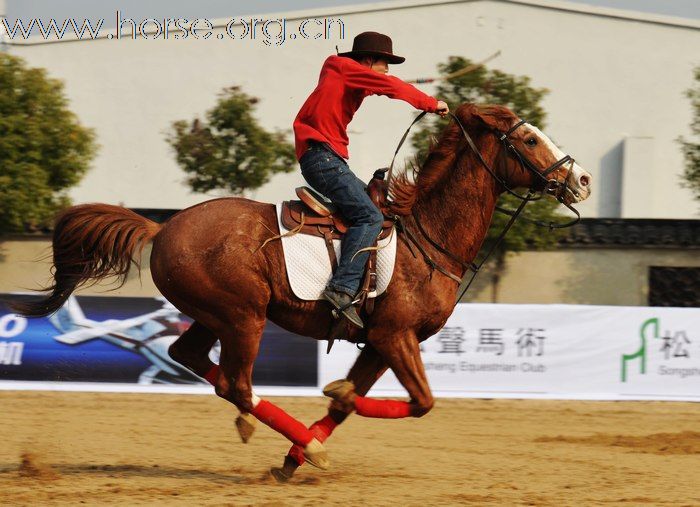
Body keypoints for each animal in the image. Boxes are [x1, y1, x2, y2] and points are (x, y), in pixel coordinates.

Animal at [10, 101, 592, 482]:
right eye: (530, 139)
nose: (582, 180)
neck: (428, 237)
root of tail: (165, 225)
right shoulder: (397, 335)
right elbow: (419, 402)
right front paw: (322, 418)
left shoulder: (379, 343)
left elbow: (355, 405)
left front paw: (300, 451)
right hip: (244, 317)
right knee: (237, 384)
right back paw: (295, 439)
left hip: (214, 316)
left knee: (189, 356)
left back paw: (299, 443)